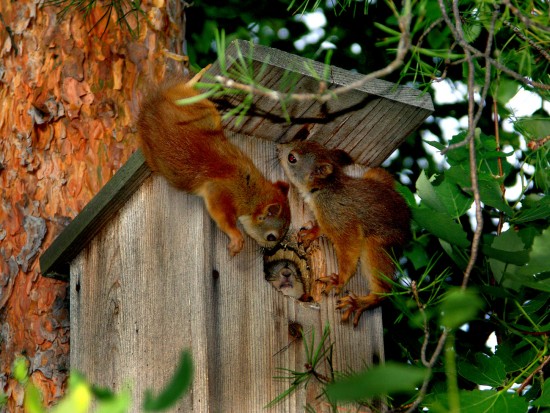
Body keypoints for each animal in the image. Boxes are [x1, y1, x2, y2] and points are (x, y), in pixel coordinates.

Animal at [137, 67, 294, 254]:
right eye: (271, 237)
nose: (271, 250)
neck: (252, 191)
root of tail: (154, 106)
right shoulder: (221, 191)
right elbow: (221, 214)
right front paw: (235, 236)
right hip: (205, 110)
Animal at [278, 141, 412, 326]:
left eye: (292, 158)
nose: (279, 148)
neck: (323, 188)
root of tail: (407, 224)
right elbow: (322, 228)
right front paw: (311, 232)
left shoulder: (340, 218)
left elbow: (349, 244)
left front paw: (340, 279)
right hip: (376, 175)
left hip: (376, 243)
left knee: (384, 287)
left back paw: (364, 302)